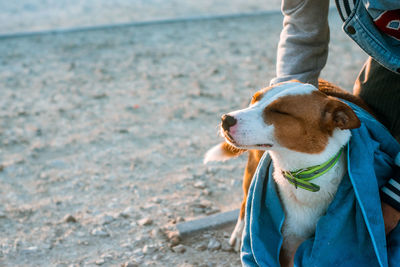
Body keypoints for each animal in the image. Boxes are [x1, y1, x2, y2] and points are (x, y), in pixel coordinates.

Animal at [206, 80, 376, 266]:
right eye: (254, 98)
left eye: (279, 112)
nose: (226, 119)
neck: (302, 175)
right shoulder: (288, 244)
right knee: (245, 199)